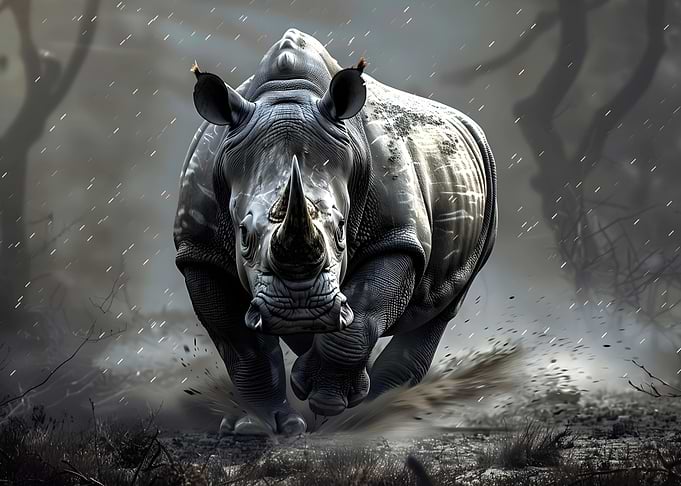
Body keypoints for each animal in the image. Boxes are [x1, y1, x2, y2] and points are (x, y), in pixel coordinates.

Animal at [174, 29, 497, 435]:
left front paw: (329, 401)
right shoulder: (199, 252)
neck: (287, 94)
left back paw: (369, 416)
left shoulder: (397, 238)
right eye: (243, 234)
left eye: (342, 229)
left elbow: (365, 311)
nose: (300, 310)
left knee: (439, 310)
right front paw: (261, 427)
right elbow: (240, 345)